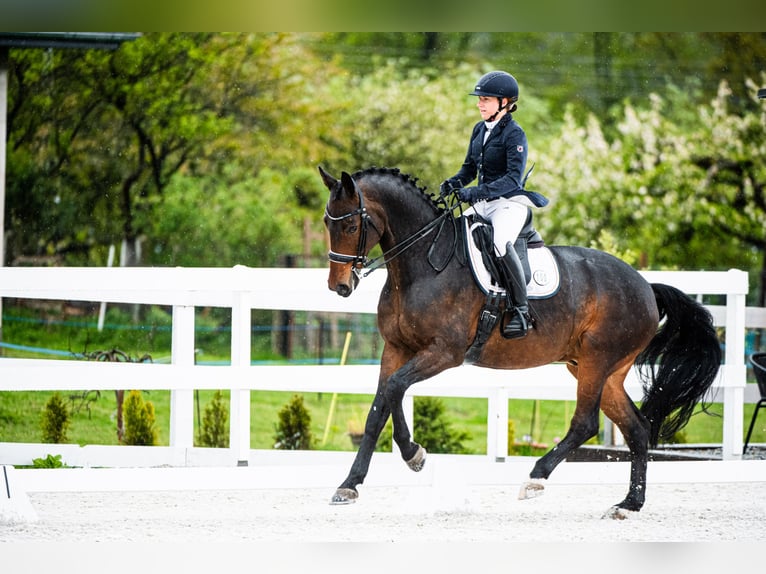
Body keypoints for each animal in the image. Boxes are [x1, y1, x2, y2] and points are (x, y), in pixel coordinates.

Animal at [316, 164, 720, 520]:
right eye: (326, 222)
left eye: (351, 224)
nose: (340, 286)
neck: (424, 263)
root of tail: (646, 287)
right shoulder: (397, 349)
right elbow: (379, 408)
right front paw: (350, 484)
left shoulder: (444, 352)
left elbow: (396, 389)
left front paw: (413, 453)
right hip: (601, 370)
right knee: (636, 429)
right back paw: (628, 505)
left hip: (597, 361)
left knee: (585, 423)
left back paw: (536, 478)